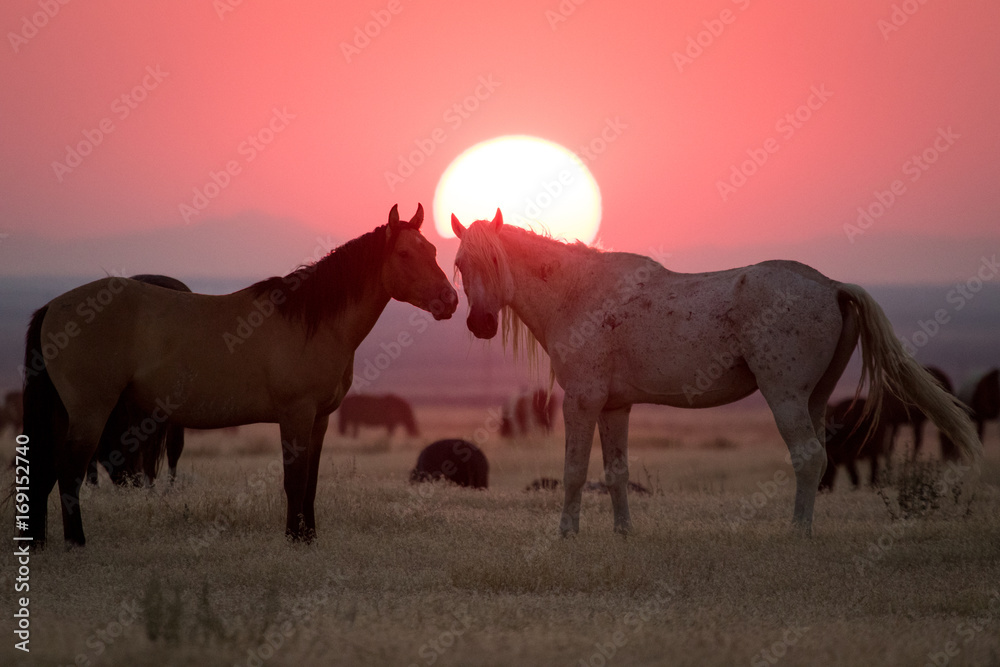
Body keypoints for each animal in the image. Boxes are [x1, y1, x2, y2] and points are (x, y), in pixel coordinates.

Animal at [451, 210, 980, 536]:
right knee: (821, 457)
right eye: (459, 263)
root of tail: (830, 286)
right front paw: (623, 532)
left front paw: (567, 534)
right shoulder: (614, 406)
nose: (479, 324)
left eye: (494, 260)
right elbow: (617, 473)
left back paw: (797, 534)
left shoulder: (581, 401)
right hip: (814, 398)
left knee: (807, 457)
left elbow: (575, 472)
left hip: (784, 396)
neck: (579, 294)